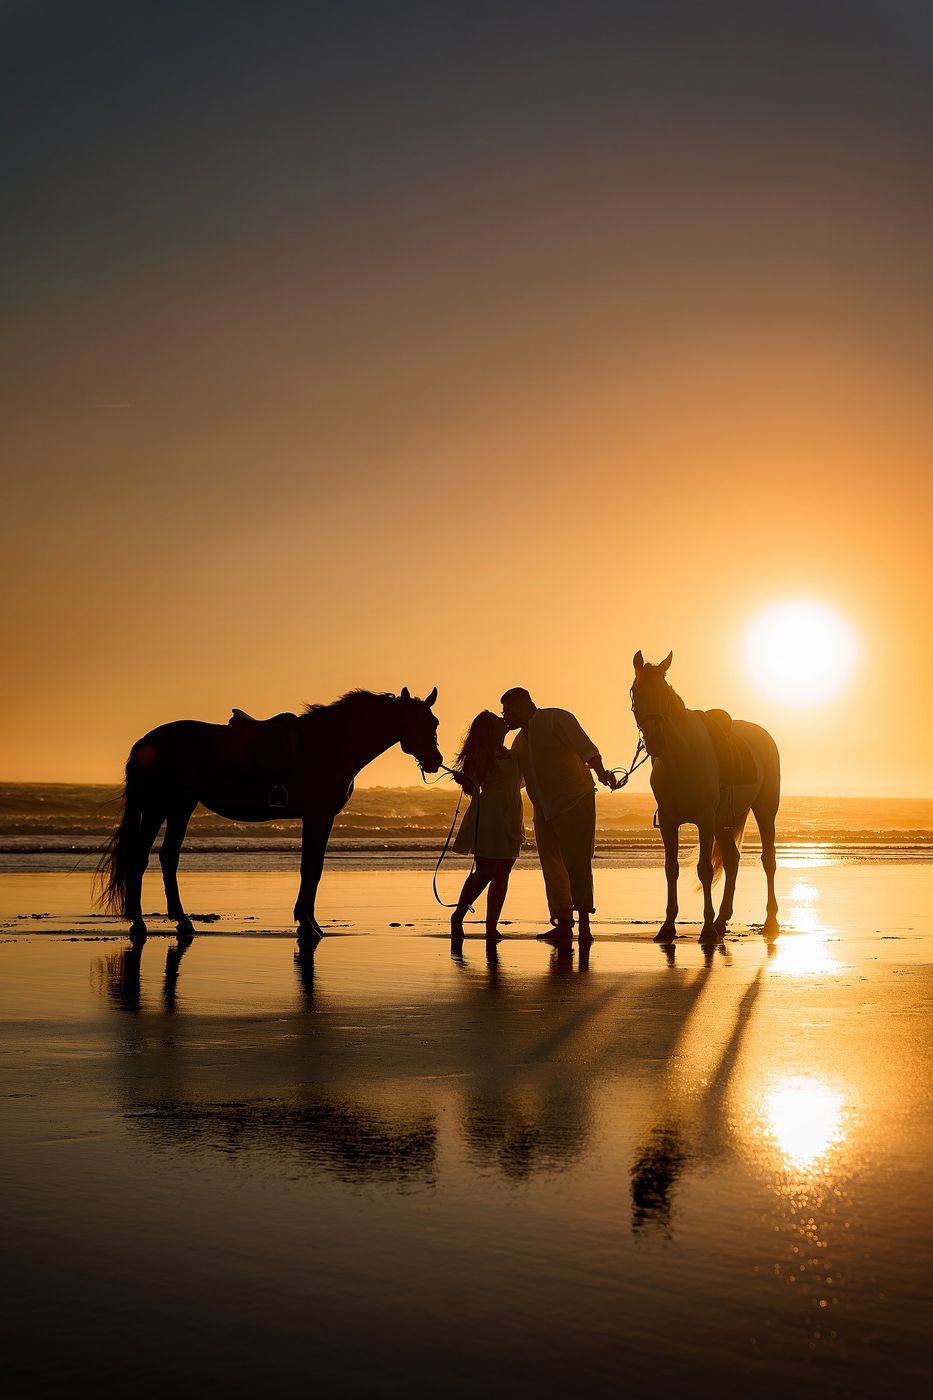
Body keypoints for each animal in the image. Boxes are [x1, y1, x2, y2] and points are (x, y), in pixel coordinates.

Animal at [96, 687, 443, 942]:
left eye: (435, 723)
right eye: (416, 723)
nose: (435, 761)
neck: (330, 743)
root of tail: (146, 743)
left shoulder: (327, 819)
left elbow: (316, 869)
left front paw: (311, 923)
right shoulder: (314, 817)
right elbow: (308, 869)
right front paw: (306, 925)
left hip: (180, 808)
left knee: (167, 857)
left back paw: (181, 922)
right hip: (162, 807)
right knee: (142, 858)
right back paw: (141, 924)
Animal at [630, 652, 780, 943]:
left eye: (665, 693)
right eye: (638, 691)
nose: (655, 741)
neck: (681, 757)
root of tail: (763, 734)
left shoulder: (704, 820)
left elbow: (705, 870)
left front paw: (707, 929)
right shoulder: (668, 821)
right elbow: (671, 868)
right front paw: (668, 926)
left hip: (764, 810)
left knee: (768, 860)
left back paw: (770, 922)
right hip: (723, 822)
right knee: (732, 860)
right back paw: (723, 919)